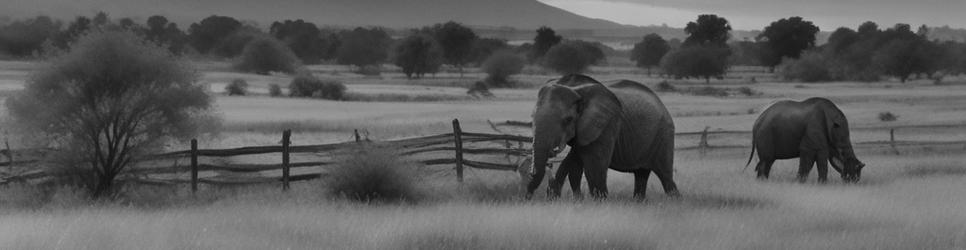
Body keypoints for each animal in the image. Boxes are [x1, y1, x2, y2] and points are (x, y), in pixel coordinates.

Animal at [524, 74, 676, 201]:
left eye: (568, 120)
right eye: (532, 117)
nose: (527, 198)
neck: (577, 90)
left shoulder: (606, 123)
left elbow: (594, 166)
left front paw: (600, 202)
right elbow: (573, 163)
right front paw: (573, 200)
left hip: (664, 134)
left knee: (665, 175)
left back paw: (674, 201)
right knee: (641, 175)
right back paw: (639, 202)